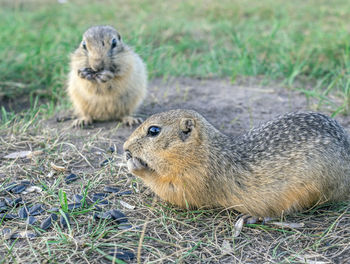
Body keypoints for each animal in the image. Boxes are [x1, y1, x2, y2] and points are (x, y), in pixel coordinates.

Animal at [123, 108, 350, 218]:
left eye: (153, 130)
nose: (125, 148)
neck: (204, 152)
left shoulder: (195, 179)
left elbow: (175, 193)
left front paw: (136, 166)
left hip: (311, 189)